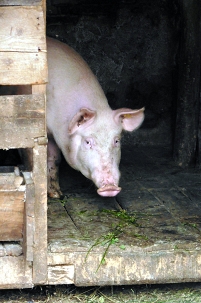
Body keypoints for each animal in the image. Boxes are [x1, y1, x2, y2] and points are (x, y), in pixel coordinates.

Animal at [46, 37, 144, 200]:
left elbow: (55, 159)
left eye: (116, 141)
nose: (110, 187)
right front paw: (54, 195)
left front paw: (56, 195)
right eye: (87, 142)